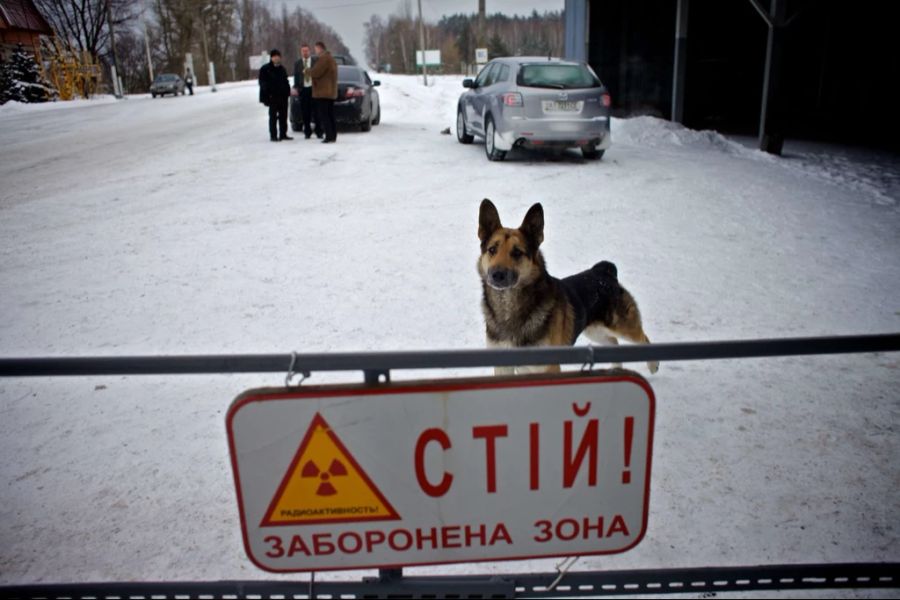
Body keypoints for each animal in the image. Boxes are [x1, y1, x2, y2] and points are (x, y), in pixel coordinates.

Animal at [474, 199, 656, 372]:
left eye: (517, 252)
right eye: (492, 250)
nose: (497, 275)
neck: (508, 308)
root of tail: (604, 270)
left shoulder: (548, 367)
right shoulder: (503, 366)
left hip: (621, 326)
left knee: (643, 338)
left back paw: (653, 365)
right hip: (594, 330)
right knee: (613, 342)